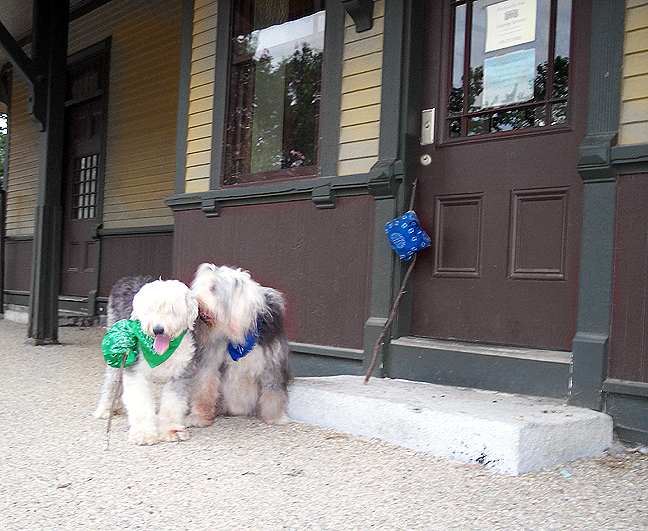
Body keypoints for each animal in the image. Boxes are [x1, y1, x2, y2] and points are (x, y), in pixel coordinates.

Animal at [93, 276, 199, 445]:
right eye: (150, 309)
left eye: (172, 309)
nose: (158, 329)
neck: (160, 353)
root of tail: (127, 277)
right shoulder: (137, 374)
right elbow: (140, 403)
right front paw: (143, 434)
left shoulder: (179, 374)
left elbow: (173, 404)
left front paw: (172, 431)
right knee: (111, 382)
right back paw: (106, 409)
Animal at [187, 264, 291, 426]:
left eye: (213, 288)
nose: (194, 300)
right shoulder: (210, 360)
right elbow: (204, 388)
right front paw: (199, 417)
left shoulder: (272, 362)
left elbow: (273, 391)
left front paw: (275, 417)